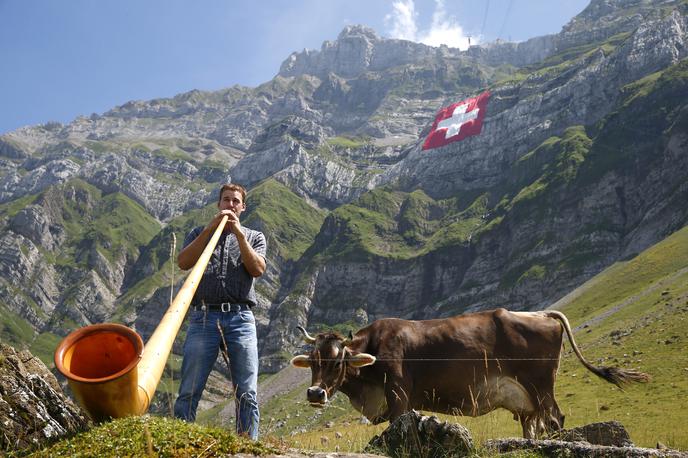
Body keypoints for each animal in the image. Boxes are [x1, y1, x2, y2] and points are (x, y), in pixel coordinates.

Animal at [290, 310, 652, 438]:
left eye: (339, 361)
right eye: (313, 360)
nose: (315, 394)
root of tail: (540, 313)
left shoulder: (399, 395)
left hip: (541, 385)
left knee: (555, 419)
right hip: (527, 399)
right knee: (533, 425)